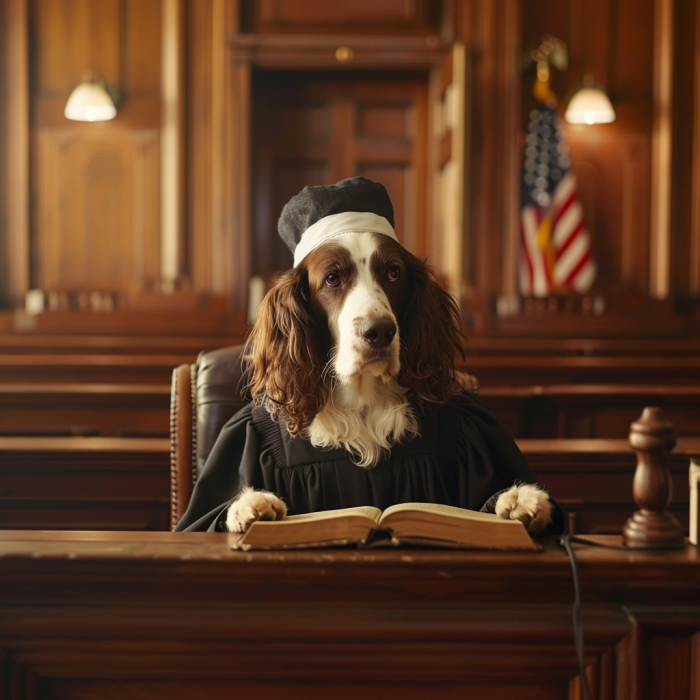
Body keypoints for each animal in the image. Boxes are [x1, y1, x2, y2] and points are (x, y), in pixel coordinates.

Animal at [224, 221, 552, 532]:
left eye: (394, 273)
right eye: (332, 278)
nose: (379, 331)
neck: (363, 398)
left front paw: (519, 500)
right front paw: (251, 505)